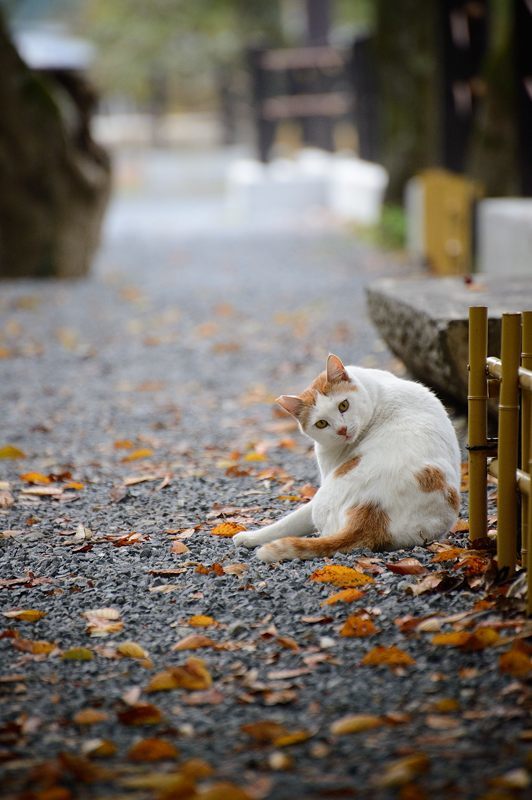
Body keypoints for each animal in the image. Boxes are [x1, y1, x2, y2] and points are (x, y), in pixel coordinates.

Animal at [234, 354, 462, 560]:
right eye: (321, 423)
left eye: (343, 405)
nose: (342, 430)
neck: (378, 391)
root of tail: (371, 513)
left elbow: (289, 521)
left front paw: (249, 537)